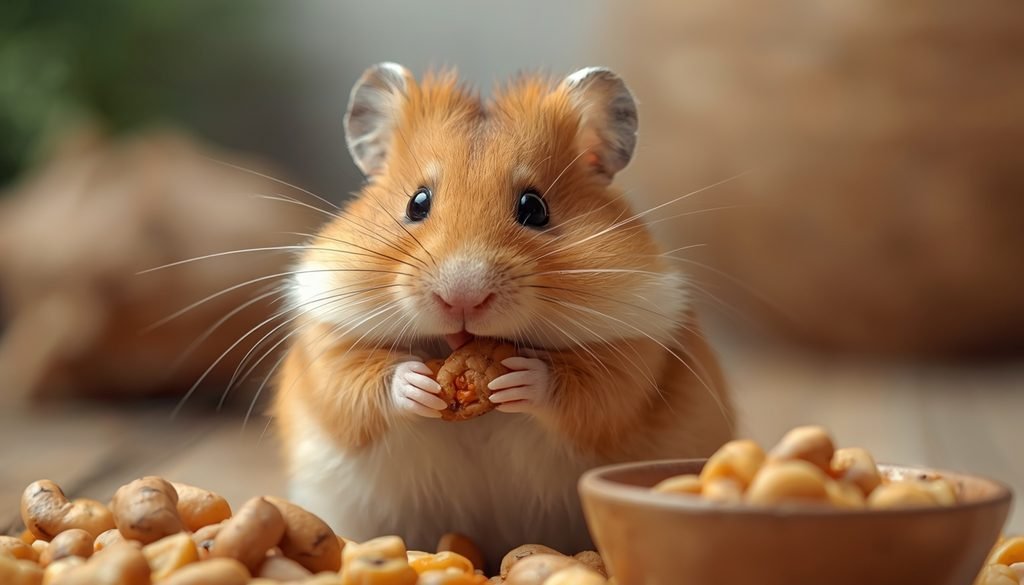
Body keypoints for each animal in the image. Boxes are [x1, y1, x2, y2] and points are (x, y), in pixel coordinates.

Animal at [272, 62, 734, 567]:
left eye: (535, 207)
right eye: (417, 203)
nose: (462, 298)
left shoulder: (633, 355)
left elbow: (585, 391)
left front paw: (516, 379)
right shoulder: (328, 344)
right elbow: (361, 383)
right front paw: (420, 383)